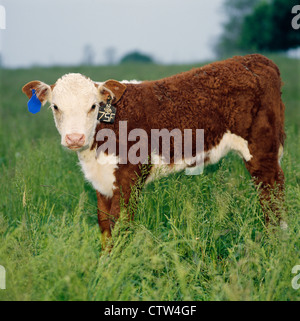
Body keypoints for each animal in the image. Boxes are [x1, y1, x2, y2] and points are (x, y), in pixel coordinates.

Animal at [22, 53, 286, 242]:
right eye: (55, 106)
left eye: (93, 106)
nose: (74, 138)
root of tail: (255, 59)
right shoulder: (102, 181)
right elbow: (105, 226)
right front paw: (104, 267)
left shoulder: (130, 176)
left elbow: (121, 224)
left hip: (261, 148)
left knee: (271, 191)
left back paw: (276, 241)